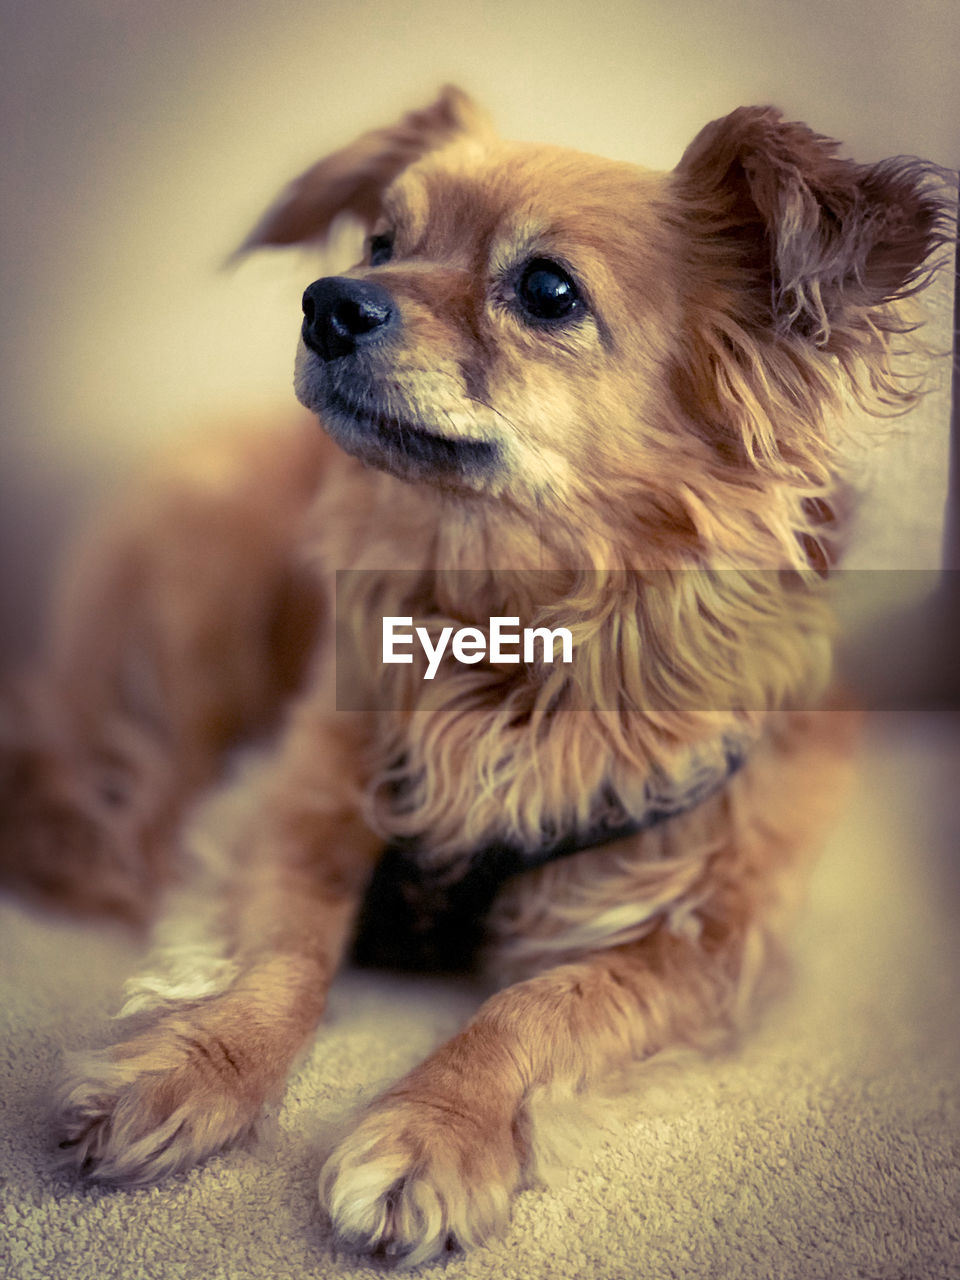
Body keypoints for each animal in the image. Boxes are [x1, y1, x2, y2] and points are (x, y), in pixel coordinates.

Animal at [0, 85, 957, 1264]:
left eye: (547, 290)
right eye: (381, 242)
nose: (328, 302)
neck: (500, 635)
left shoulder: (703, 936)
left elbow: (536, 1008)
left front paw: (435, 1131)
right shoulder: (299, 794)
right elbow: (282, 951)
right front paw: (188, 1064)